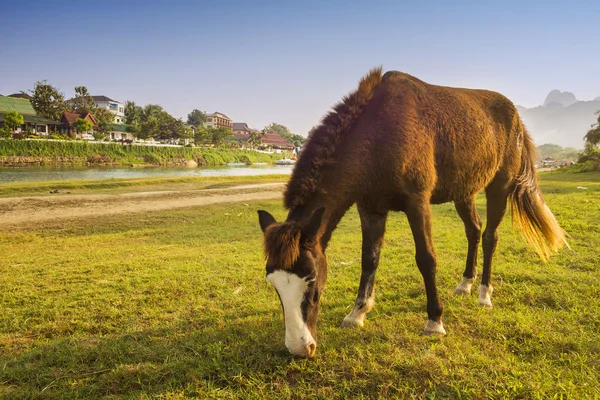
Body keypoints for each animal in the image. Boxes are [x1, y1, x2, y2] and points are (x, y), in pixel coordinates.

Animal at [256, 67, 568, 358]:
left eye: (311, 281)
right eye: (274, 285)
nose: (299, 347)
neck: (378, 134)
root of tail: (516, 116)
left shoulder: (417, 203)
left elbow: (426, 259)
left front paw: (435, 320)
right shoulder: (370, 208)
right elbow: (369, 259)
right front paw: (358, 312)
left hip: (499, 187)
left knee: (491, 236)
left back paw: (483, 293)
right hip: (464, 192)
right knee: (474, 231)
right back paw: (466, 283)